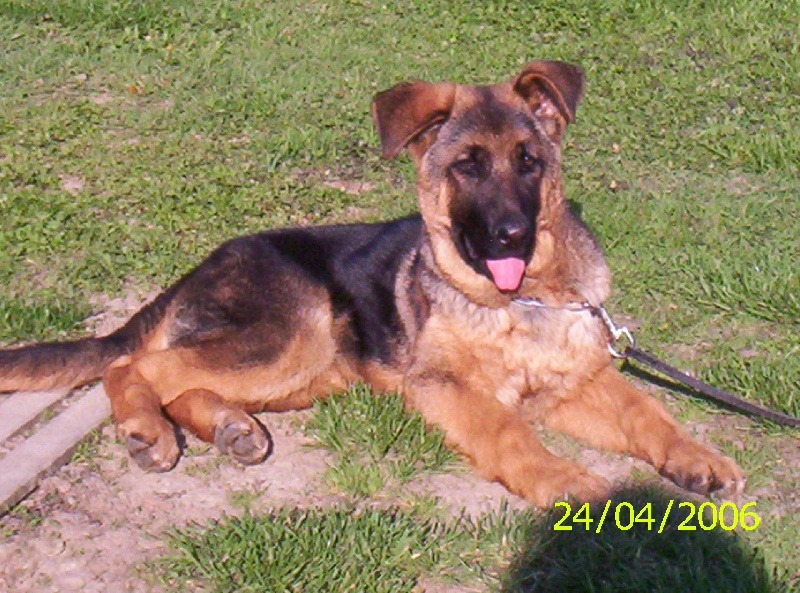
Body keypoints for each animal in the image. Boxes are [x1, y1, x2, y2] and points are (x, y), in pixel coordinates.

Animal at [0, 60, 745, 506]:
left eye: (529, 161)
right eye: (468, 166)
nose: (510, 235)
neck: (518, 302)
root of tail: (201, 267)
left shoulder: (575, 382)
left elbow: (647, 411)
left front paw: (695, 455)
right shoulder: (447, 387)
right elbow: (509, 431)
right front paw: (566, 480)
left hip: (309, 371)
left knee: (181, 382)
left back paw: (230, 427)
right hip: (290, 337)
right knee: (133, 365)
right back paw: (145, 428)